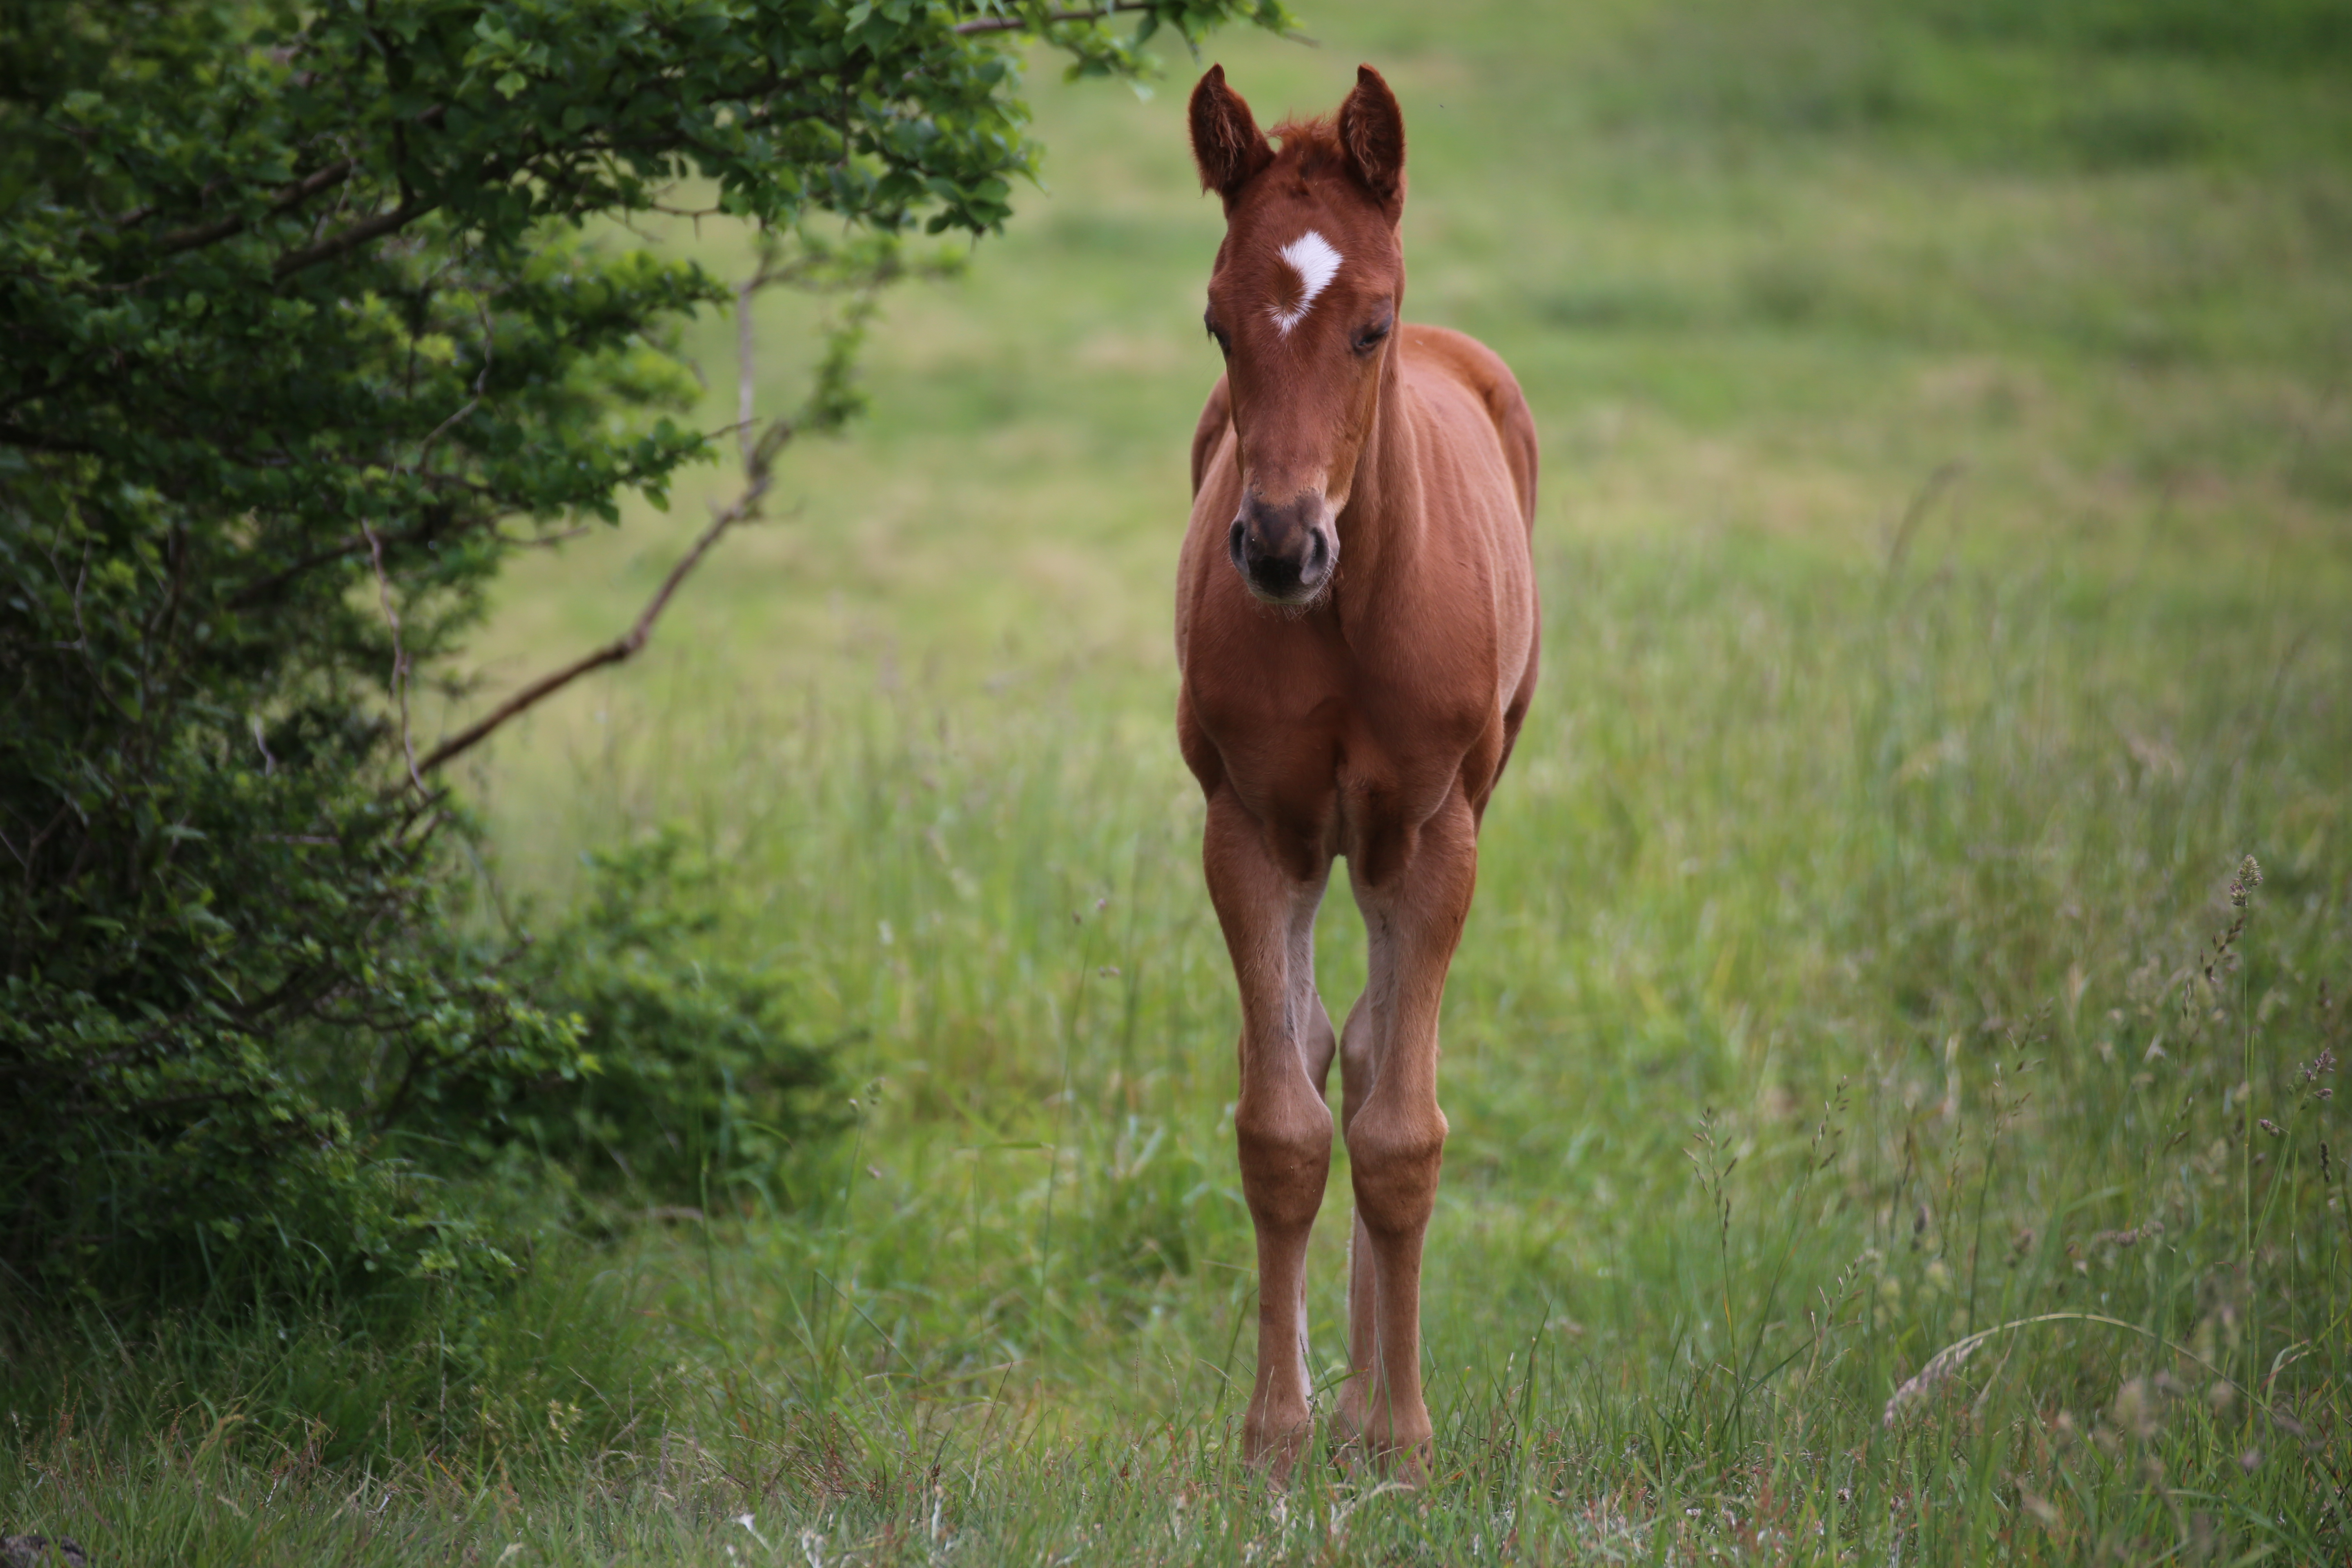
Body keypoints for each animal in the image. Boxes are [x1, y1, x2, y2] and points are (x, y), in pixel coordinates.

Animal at [1176, 64, 1543, 1486]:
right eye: (1218, 325)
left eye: (1370, 328)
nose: (1281, 545)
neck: (1346, 614)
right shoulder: (1248, 826)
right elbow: (1281, 1126)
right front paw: (1277, 1434)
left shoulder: (1432, 834)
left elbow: (1400, 1134)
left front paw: (1399, 1436)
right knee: (1335, 1048)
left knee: (1386, 1057)